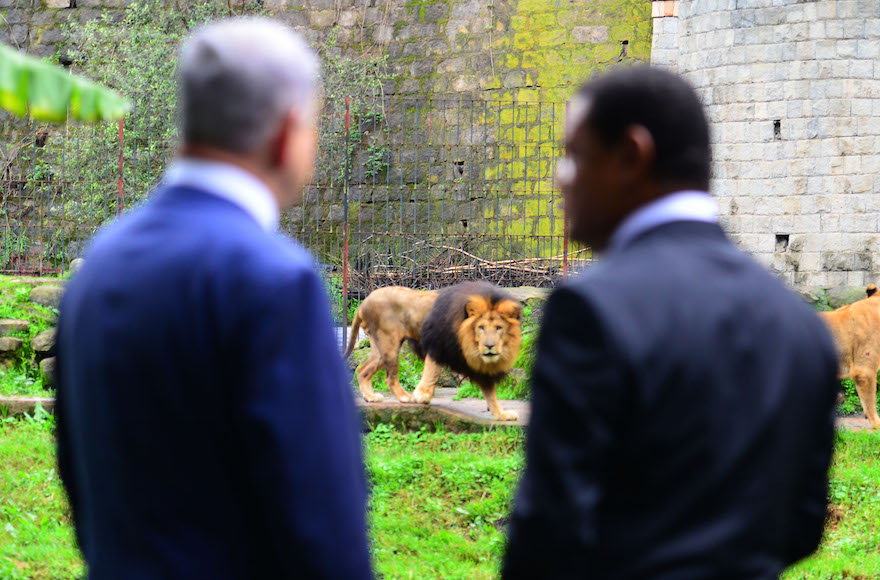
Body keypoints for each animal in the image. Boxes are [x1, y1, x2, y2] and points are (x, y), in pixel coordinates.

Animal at [346, 282, 524, 422]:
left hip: (380, 347)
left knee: (362, 370)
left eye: (498, 328)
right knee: (390, 378)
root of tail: (364, 302)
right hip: (390, 343)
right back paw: (406, 398)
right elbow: (433, 371)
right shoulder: (438, 346)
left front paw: (501, 415)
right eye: (481, 327)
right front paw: (422, 396)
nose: (489, 346)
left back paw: (370, 397)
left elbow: (490, 394)